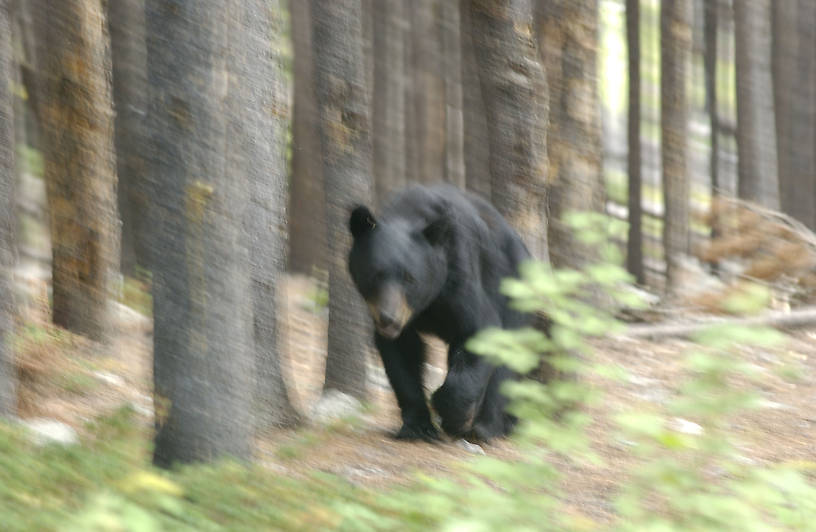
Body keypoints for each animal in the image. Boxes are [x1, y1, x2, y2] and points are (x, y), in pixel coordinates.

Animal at [346, 183, 532, 440]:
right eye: (374, 275)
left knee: (507, 358)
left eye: (410, 279)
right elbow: (401, 356)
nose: (388, 319)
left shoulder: (458, 277)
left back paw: (487, 427)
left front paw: (450, 413)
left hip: (514, 289)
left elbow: (482, 329)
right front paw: (417, 426)